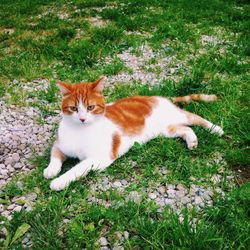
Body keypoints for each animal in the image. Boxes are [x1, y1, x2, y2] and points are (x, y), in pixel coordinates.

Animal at [43, 75, 225, 190]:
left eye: (90, 107)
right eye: (73, 108)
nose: (82, 118)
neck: (80, 131)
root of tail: (156, 97)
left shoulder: (100, 158)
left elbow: (77, 169)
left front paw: (59, 181)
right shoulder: (60, 144)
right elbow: (55, 156)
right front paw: (51, 170)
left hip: (178, 116)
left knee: (195, 118)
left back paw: (216, 129)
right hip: (167, 130)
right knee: (186, 129)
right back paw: (192, 141)